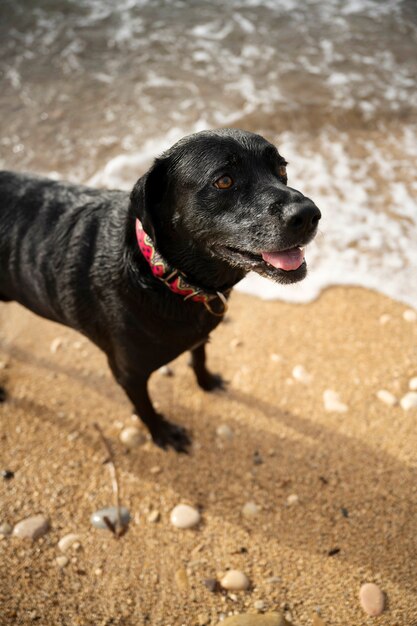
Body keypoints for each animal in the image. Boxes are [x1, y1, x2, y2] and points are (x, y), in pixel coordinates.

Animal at [0, 128, 320, 448]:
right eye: (224, 181)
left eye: (281, 169)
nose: (309, 215)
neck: (164, 273)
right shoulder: (128, 374)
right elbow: (145, 408)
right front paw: (163, 433)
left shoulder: (199, 336)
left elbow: (199, 358)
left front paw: (207, 382)